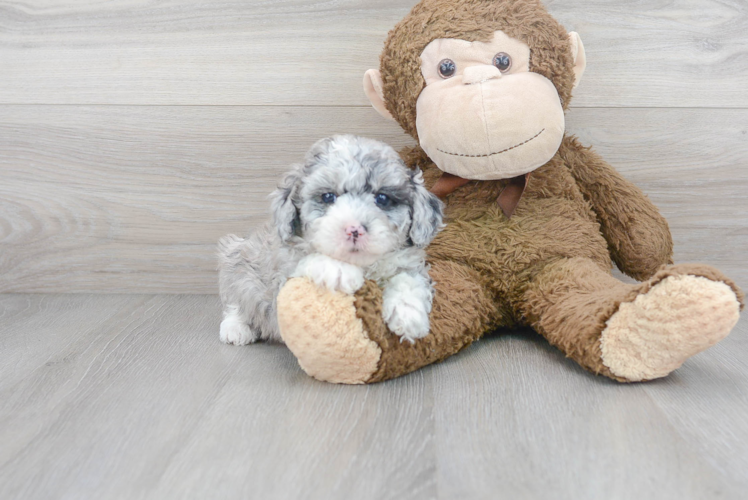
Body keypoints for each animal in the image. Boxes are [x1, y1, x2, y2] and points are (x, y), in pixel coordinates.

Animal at [219, 136, 448, 348]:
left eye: (382, 199)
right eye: (328, 197)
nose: (354, 229)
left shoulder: (408, 262)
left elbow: (408, 279)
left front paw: (409, 314)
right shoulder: (281, 278)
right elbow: (305, 261)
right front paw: (337, 269)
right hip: (235, 254)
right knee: (235, 298)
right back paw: (236, 327)